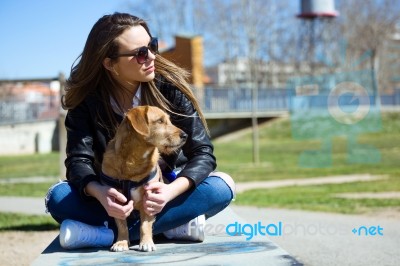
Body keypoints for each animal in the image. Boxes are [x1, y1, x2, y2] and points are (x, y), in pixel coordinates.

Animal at [100, 105, 188, 251]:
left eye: (169, 120)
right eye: (160, 121)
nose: (185, 135)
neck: (133, 161)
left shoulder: (149, 199)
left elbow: (145, 225)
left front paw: (146, 242)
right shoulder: (116, 201)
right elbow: (122, 225)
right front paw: (121, 242)